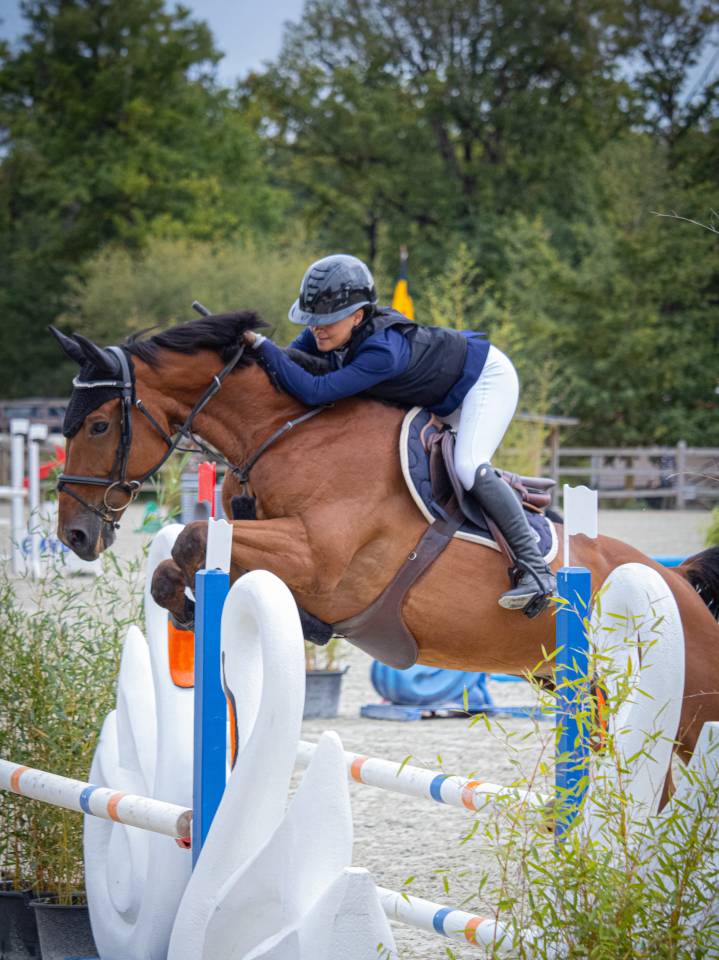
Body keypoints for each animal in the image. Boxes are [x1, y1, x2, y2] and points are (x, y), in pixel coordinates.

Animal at [50, 312, 719, 766]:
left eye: (100, 425)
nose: (75, 534)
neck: (287, 432)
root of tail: (681, 583)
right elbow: (177, 563)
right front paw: (188, 611)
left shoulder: (320, 559)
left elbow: (190, 537)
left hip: (687, 718)